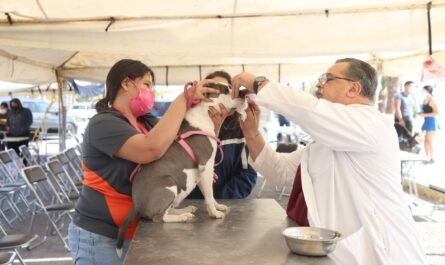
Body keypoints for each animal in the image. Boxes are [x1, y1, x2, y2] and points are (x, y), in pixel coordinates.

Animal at [116, 83, 245, 250]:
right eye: (225, 89)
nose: (244, 93)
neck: (204, 114)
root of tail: (136, 205)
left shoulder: (204, 172)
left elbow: (210, 194)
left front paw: (218, 207)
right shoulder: (206, 166)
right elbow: (209, 196)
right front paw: (214, 213)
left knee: (168, 210)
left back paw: (186, 210)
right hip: (168, 183)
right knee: (159, 217)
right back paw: (184, 216)